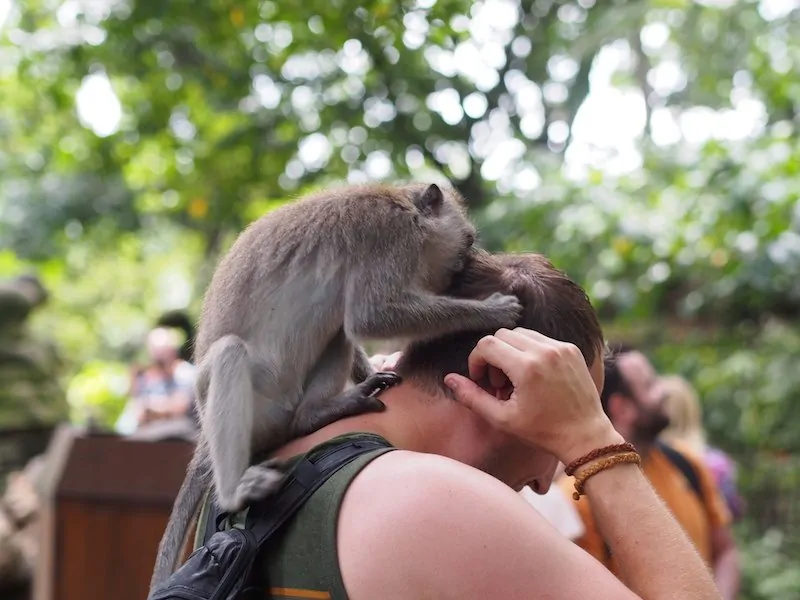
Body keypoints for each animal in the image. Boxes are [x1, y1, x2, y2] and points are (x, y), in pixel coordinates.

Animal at [148, 180, 524, 592]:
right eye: (467, 240)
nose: (469, 259)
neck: (403, 204)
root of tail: (205, 443)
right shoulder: (391, 238)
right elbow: (371, 316)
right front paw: (488, 311)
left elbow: (355, 323)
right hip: (260, 404)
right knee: (232, 354)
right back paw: (235, 489)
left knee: (335, 329)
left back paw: (317, 412)